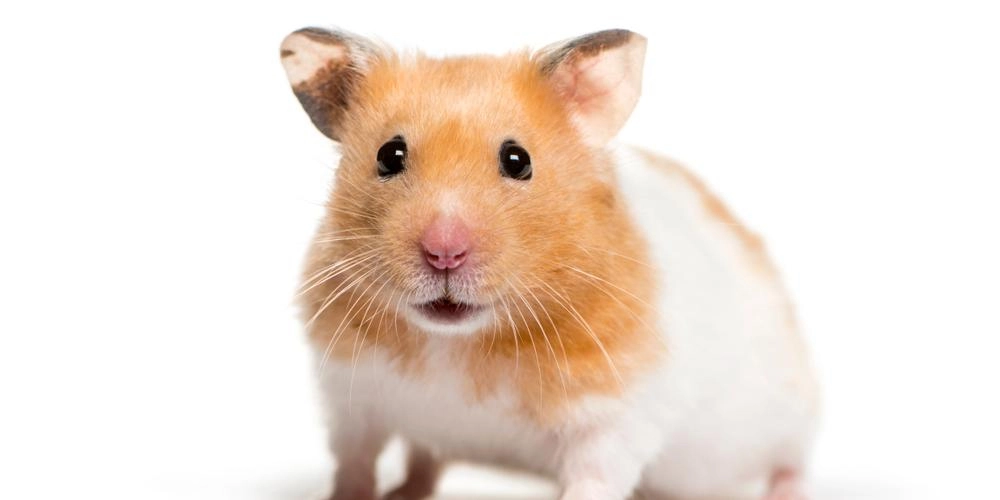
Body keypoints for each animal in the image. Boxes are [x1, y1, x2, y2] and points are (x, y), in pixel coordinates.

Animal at [279, 27, 819, 500]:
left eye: (518, 160)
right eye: (389, 155)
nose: (443, 252)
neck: (456, 344)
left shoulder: (616, 414)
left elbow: (594, 479)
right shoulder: (350, 398)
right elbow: (355, 461)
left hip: (786, 412)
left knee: (791, 460)